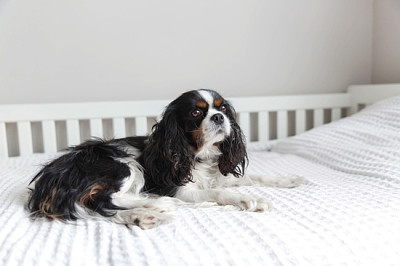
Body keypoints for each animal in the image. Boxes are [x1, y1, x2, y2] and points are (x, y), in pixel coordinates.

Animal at [28, 89, 304, 229]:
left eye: (223, 108)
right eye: (196, 113)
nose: (219, 117)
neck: (199, 154)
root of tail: (48, 181)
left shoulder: (219, 174)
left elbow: (250, 177)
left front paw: (290, 180)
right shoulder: (179, 189)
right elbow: (218, 192)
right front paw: (249, 199)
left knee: (97, 207)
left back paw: (143, 216)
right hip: (122, 164)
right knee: (103, 199)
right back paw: (154, 204)